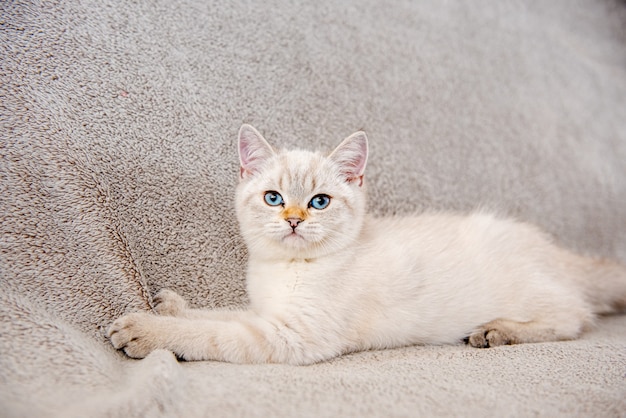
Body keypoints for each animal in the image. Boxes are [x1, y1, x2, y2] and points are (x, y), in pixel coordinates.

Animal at [107, 123, 624, 362]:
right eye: (274, 198)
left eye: (318, 202)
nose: (293, 220)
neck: (283, 269)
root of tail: (555, 250)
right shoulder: (264, 312)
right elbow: (218, 314)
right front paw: (171, 308)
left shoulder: (291, 335)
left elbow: (214, 333)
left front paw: (146, 331)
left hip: (535, 294)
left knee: (574, 317)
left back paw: (498, 331)